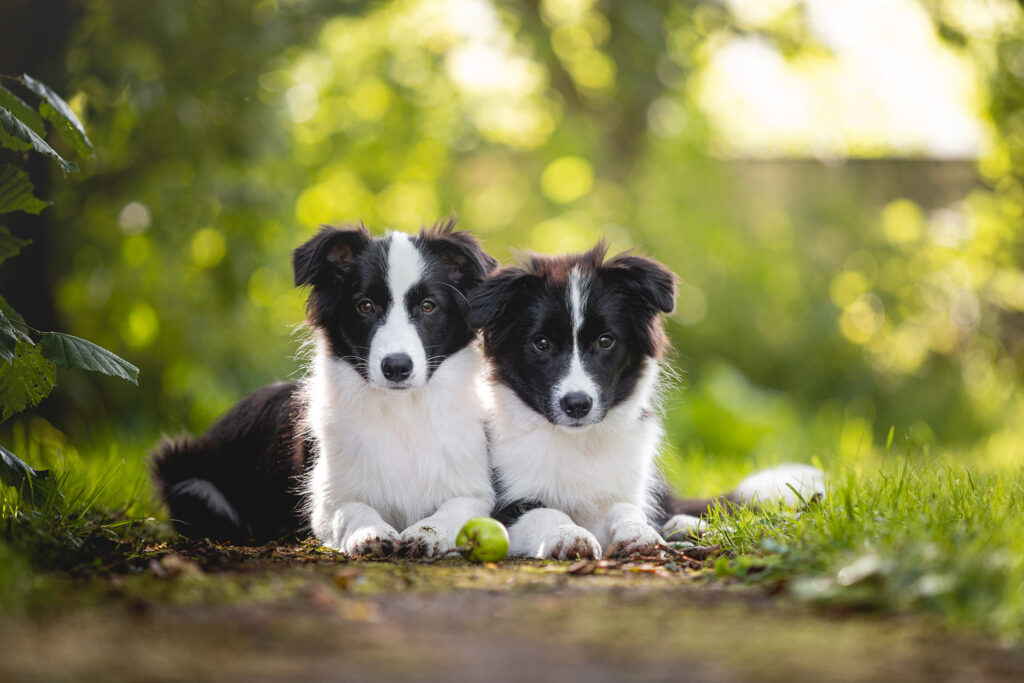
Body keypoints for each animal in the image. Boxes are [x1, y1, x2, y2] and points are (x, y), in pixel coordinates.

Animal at [152, 222, 499, 557]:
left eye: (428, 306)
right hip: (187, 477)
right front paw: (369, 533)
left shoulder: (475, 491)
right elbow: (352, 510)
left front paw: (429, 533)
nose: (397, 367)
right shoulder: (326, 499)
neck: (401, 409)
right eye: (365, 306)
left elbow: (456, 510)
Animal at [471, 245, 823, 561]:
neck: (579, 442)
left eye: (605, 341)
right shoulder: (501, 506)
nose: (577, 405)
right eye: (541, 343)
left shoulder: (625, 488)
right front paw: (569, 535)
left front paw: (639, 532)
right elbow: (545, 512)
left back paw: (693, 526)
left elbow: (626, 508)